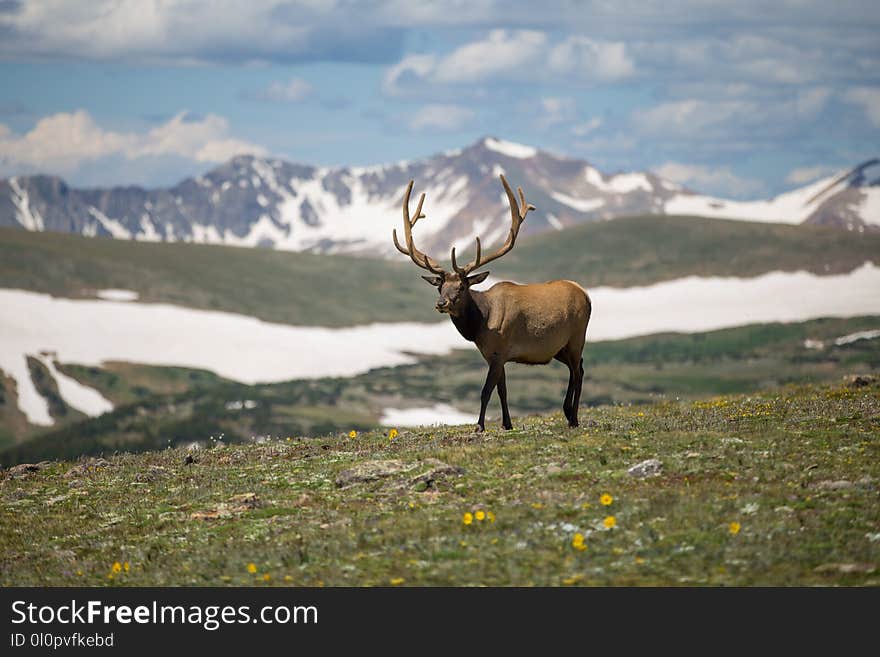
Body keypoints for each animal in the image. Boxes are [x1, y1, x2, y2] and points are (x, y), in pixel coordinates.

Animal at [392, 174, 592, 430]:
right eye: (439, 286)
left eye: (462, 287)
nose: (441, 303)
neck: (480, 324)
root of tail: (585, 294)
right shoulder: (494, 355)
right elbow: (502, 391)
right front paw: (507, 424)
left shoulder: (499, 350)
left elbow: (486, 391)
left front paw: (480, 425)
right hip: (559, 347)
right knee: (579, 369)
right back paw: (567, 412)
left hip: (577, 336)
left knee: (578, 371)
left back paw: (574, 418)